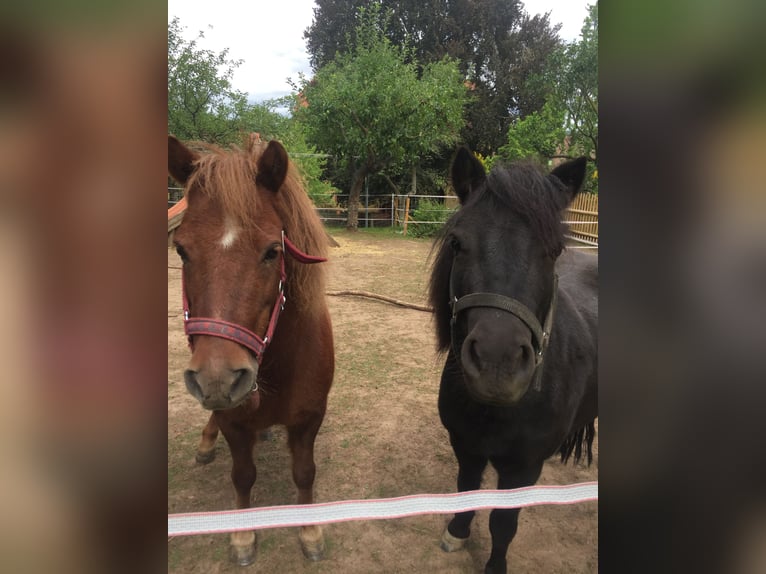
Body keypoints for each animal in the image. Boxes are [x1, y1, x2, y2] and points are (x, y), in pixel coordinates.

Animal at [170, 135, 334, 568]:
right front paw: (243, 536)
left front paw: (310, 531)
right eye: (181, 251)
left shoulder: (310, 419)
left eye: (272, 251)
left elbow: (305, 472)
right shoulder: (234, 422)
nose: (218, 378)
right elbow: (242, 476)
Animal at [432, 150, 600, 574]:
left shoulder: (522, 468)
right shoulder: (465, 445)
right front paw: (457, 533)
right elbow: (466, 489)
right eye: (457, 242)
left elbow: (503, 524)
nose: (498, 363)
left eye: (555, 250)